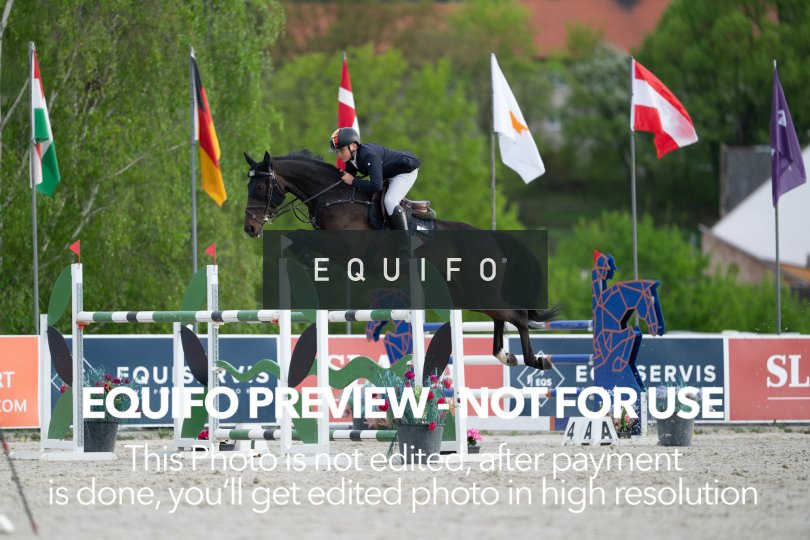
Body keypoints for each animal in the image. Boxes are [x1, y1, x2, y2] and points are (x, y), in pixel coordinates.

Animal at [243, 150, 560, 371]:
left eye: (261, 188)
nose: (250, 229)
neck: (335, 197)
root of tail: (491, 238)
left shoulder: (345, 247)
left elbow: (299, 235)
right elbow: (300, 240)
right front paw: (304, 258)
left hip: (478, 291)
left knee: (518, 316)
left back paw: (536, 360)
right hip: (471, 294)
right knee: (501, 317)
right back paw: (505, 355)